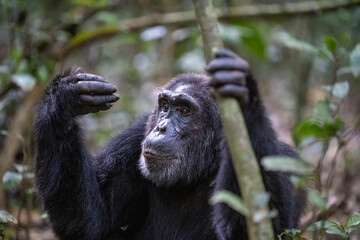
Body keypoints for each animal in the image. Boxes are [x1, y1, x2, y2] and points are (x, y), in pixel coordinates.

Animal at [33, 49, 306, 240]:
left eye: (184, 110)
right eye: (165, 105)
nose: (161, 127)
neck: (199, 172)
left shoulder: (283, 165)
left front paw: (244, 94)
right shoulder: (132, 140)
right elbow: (90, 222)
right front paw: (64, 100)